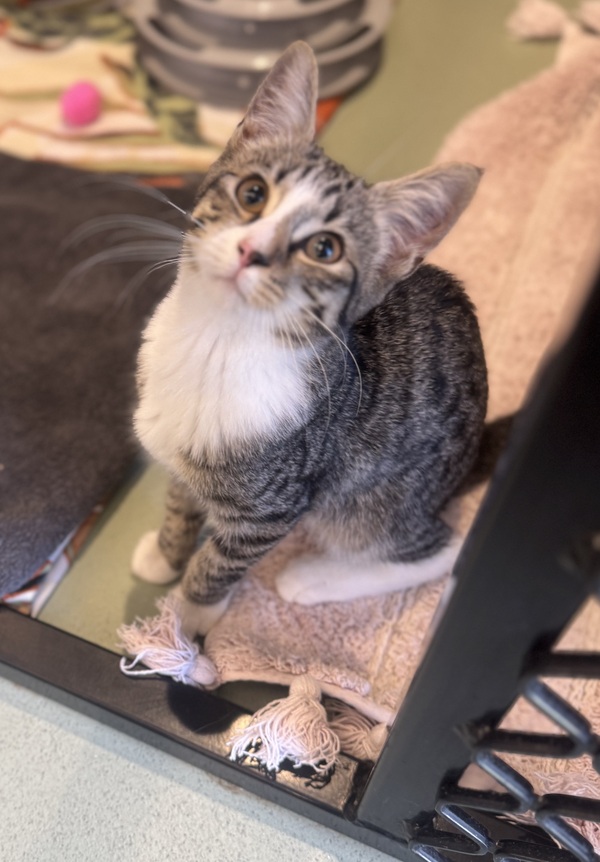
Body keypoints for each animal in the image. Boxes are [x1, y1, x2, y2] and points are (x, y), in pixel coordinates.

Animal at [132, 41, 493, 638]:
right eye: (252, 193)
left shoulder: (273, 506)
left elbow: (218, 563)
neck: (214, 343)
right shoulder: (181, 452)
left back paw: (313, 576)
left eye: (324, 249)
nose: (251, 251)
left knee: (440, 548)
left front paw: (186, 622)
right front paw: (164, 554)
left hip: (368, 500)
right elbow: (181, 503)